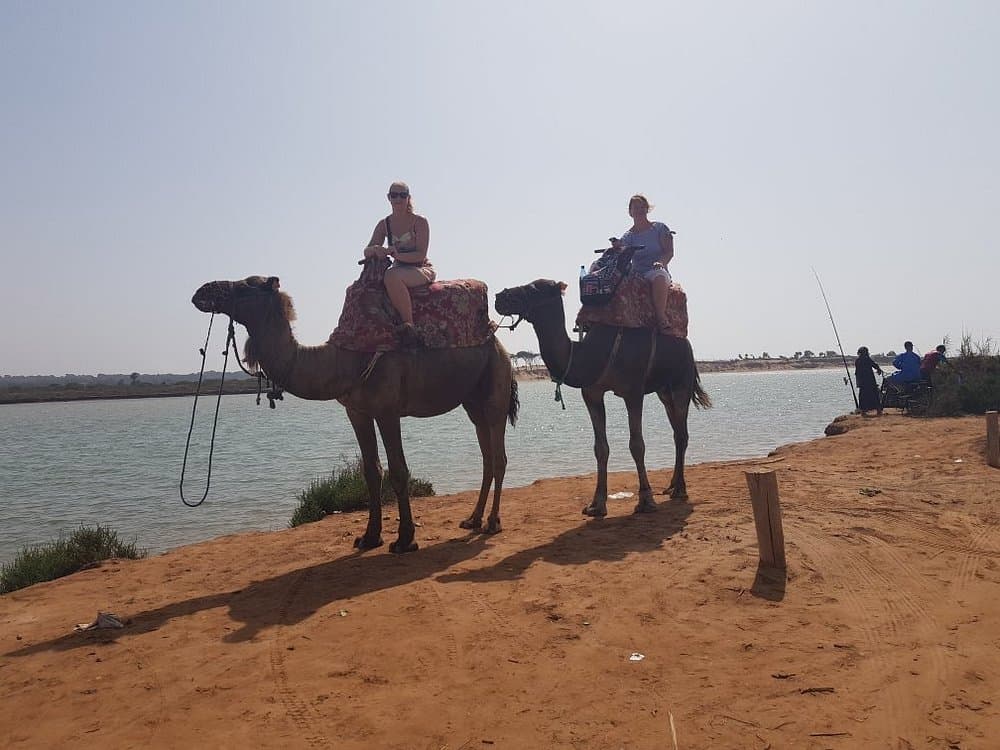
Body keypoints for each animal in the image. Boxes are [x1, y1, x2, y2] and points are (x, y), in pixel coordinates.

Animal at [191, 275, 518, 553]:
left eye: (247, 285)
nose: (202, 292)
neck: (343, 359)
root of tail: (498, 341)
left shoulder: (387, 409)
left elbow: (398, 471)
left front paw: (405, 541)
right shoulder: (356, 411)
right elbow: (371, 471)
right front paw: (369, 537)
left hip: (495, 385)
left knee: (499, 456)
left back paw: (492, 523)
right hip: (472, 400)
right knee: (487, 457)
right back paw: (473, 519)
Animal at [494, 279, 710, 517]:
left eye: (533, 289)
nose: (500, 297)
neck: (587, 355)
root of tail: (687, 345)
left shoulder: (633, 392)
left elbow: (637, 445)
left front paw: (646, 500)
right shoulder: (592, 393)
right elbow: (600, 448)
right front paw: (596, 505)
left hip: (682, 382)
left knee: (682, 434)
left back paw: (680, 490)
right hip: (664, 390)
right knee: (676, 430)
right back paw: (671, 485)